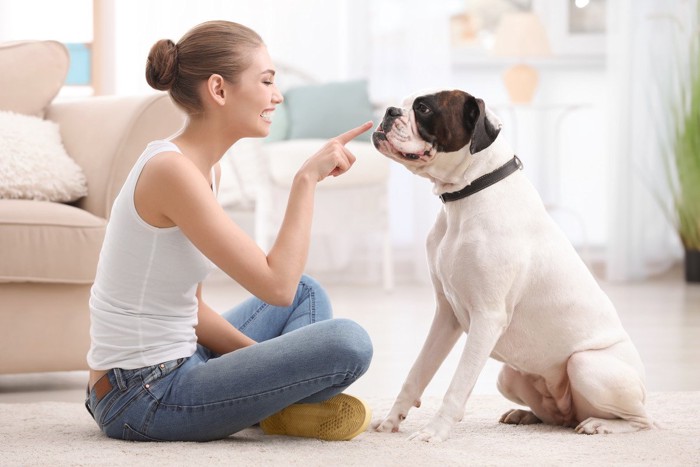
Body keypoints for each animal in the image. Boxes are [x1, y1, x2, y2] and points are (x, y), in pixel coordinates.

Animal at [372, 90, 656, 442]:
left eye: (423, 108)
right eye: (402, 103)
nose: (389, 111)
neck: (467, 194)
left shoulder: (487, 317)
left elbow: (457, 385)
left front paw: (433, 432)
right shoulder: (446, 315)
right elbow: (417, 372)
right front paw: (391, 421)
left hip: (586, 365)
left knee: (641, 419)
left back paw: (600, 424)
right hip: (508, 376)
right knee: (558, 417)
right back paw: (526, 415)